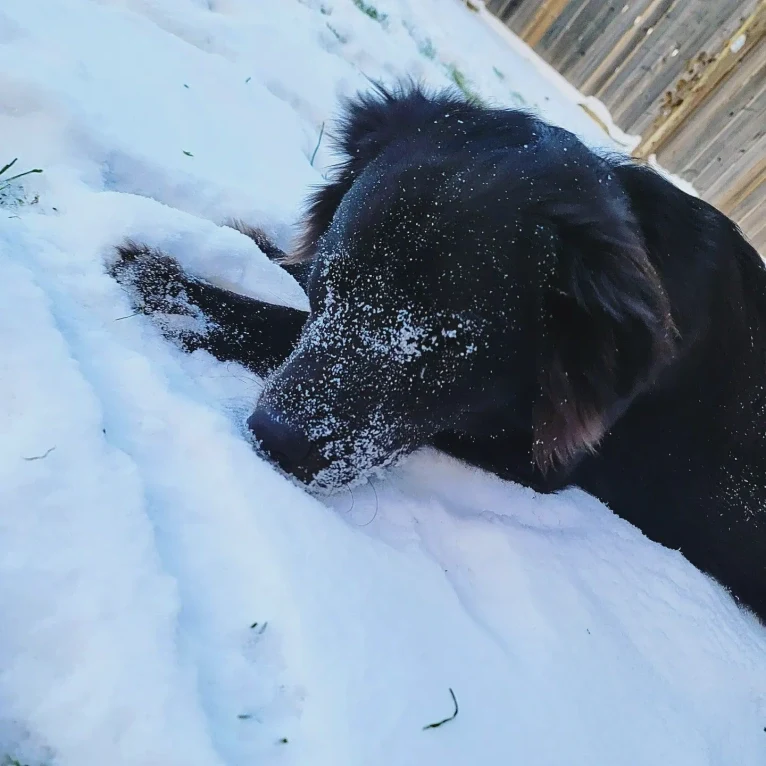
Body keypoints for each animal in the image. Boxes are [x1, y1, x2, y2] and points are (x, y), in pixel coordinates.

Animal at [112, 84, 766, 624]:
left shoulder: (530, 456)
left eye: (449, 343)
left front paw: (172, 289)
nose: (274, 439)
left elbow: (276, 325)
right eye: (335, 281)